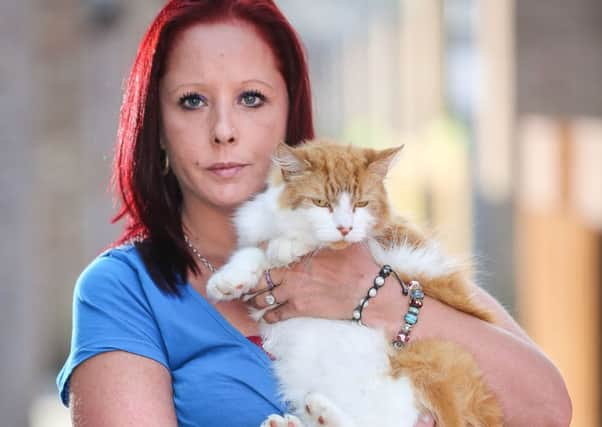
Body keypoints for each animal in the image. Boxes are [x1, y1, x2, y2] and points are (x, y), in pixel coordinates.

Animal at [206, 140, 502, 427]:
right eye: (320, 202)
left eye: (361, 204)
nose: (344, 228)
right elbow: (252, 253)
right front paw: (227, 280)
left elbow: (299, 246)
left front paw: (287, 247)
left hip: (424, 364)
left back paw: (320, 413)